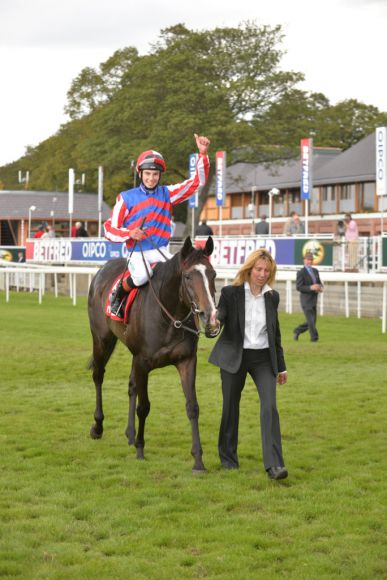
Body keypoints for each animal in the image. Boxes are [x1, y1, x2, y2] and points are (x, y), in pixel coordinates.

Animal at [88, 236, 221, 472]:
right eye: (188, 276)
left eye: (213, 274)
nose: (211, 318)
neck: (169, 316)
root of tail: (103, 269)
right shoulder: (143, 362)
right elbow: (144, 407)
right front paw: (141, 449)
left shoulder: (186, 361)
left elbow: (192, 407)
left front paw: (198, 460)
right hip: (102, 340)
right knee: (98, 375)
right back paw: (98, 426)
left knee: (131, 385)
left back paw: (130, 433)